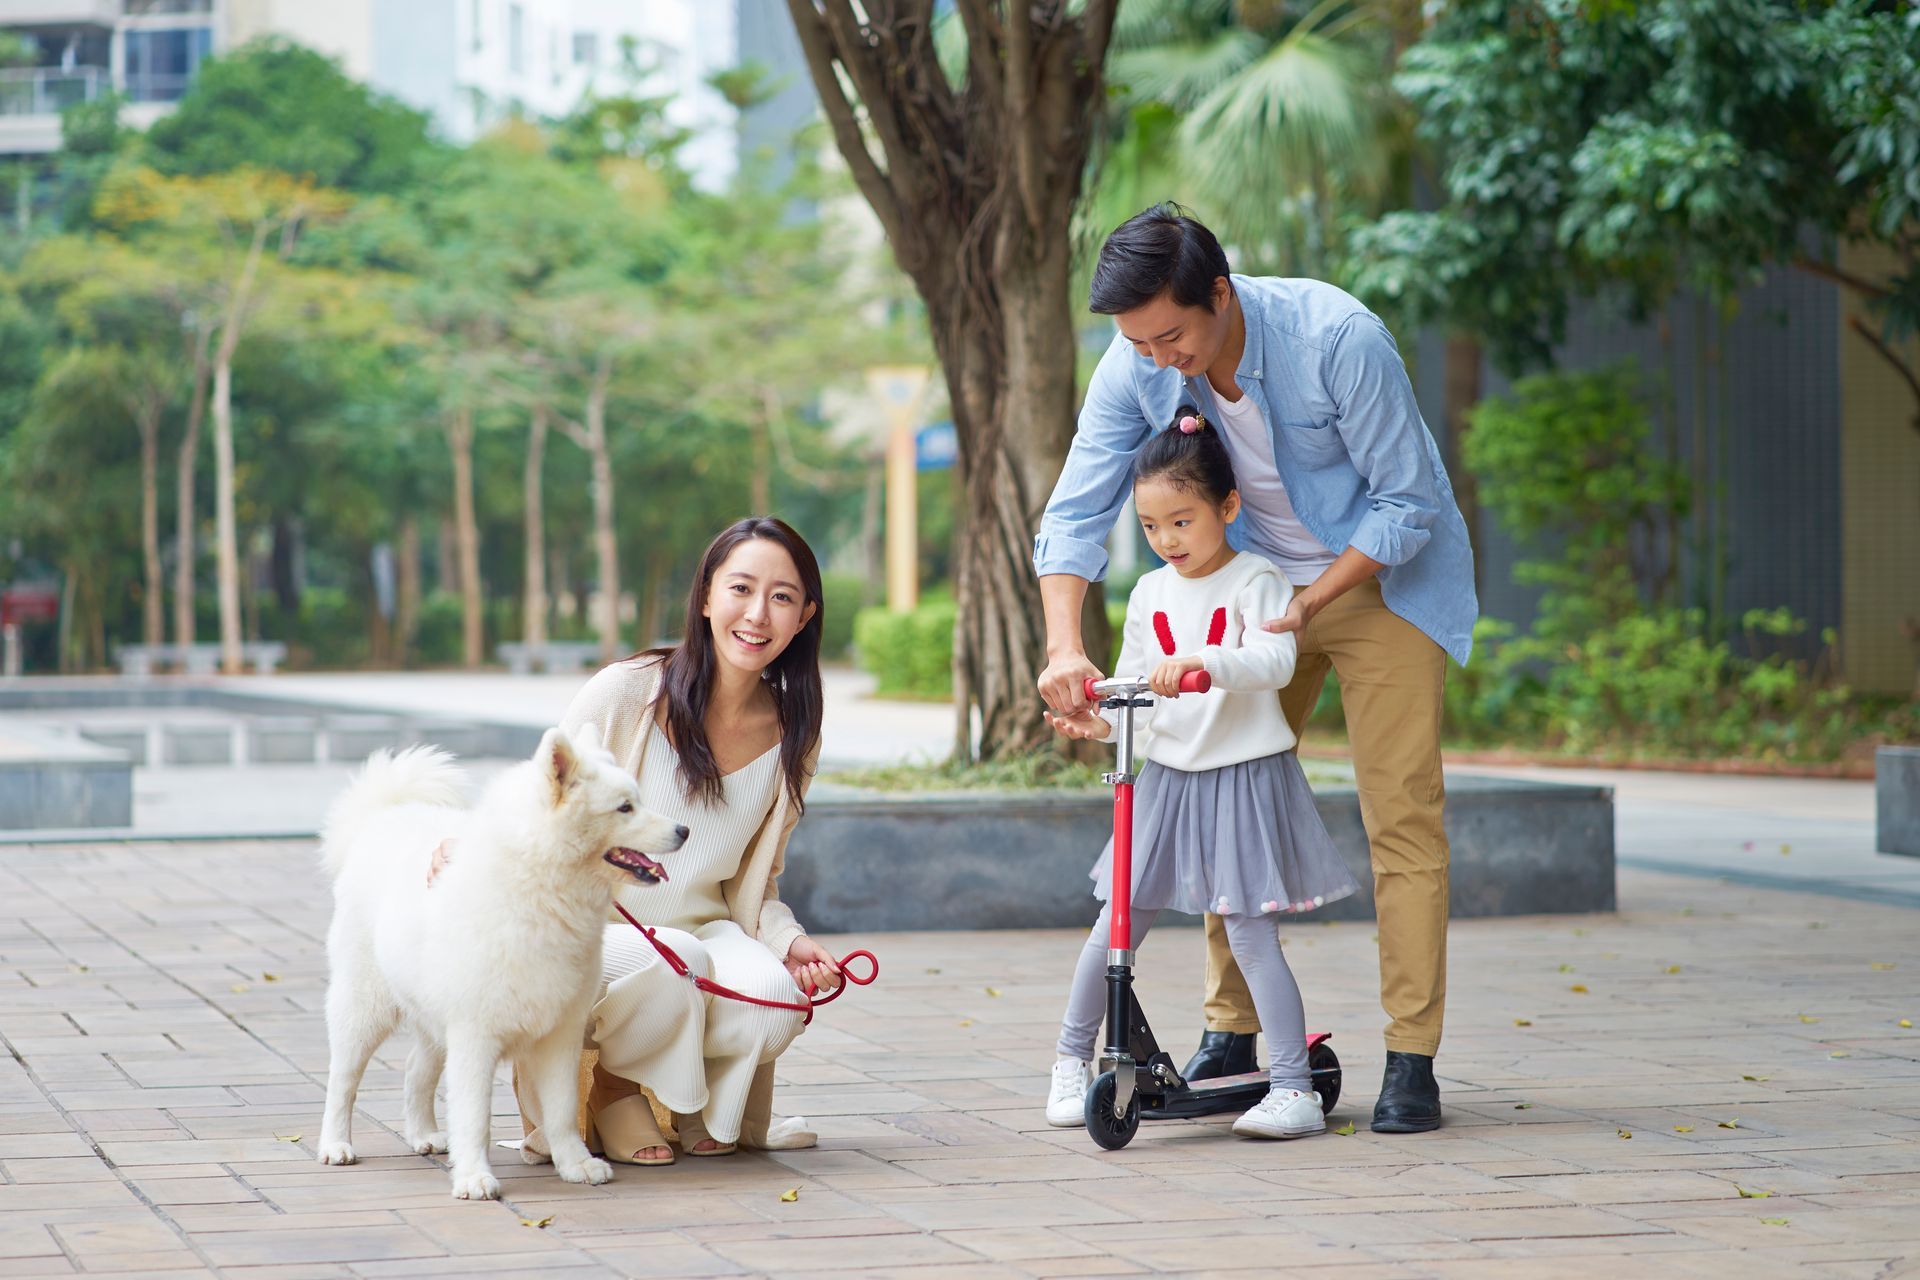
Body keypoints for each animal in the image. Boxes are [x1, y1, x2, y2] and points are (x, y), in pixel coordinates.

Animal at [322, 729, 691, 1205]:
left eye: (638, 800)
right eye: (624, 807)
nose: (684, 830)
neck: (541, 892)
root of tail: (383, 819)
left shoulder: (559, 1035)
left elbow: (560, 1111)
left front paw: (575, 1164)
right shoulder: (475, 1035)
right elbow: (474, 1115)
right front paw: (474, 1177)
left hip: (432, 1017)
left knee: (416, 1071)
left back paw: (423, 1135)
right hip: (365, 1008)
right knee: (343, 1080)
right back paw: (335, 1144)